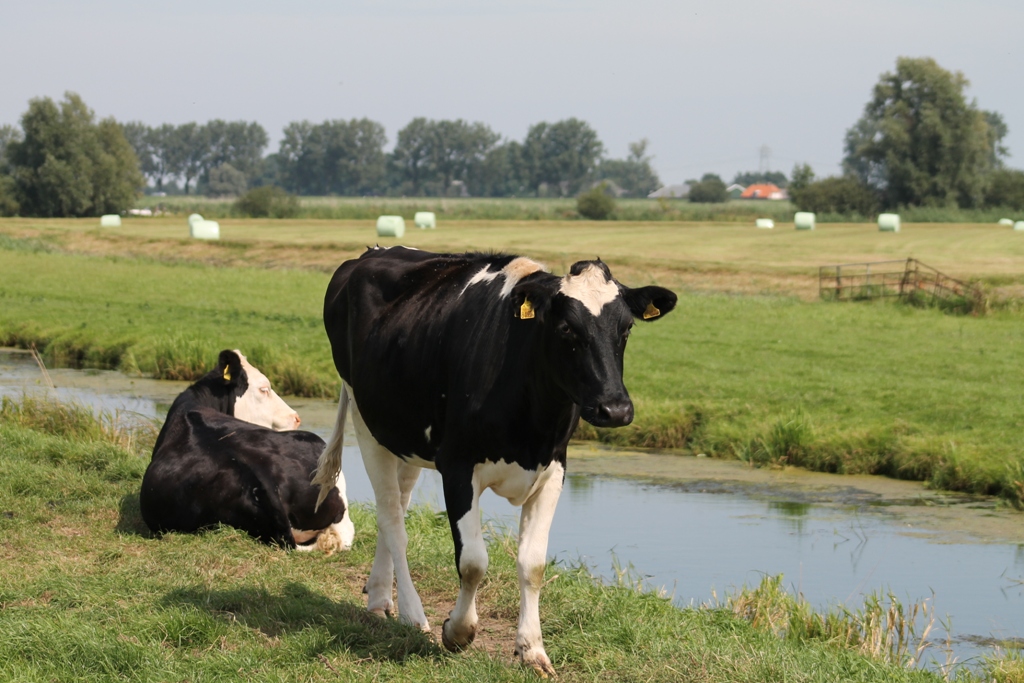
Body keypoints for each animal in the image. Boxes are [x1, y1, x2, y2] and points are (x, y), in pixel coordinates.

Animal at [311, 245, 679, 671]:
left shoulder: (554, 469)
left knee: (398, 507)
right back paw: (412, 615)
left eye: (626, 329)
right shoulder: (457, 466)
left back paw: (380, 598)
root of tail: (372, 252)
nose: (615, 409)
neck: (531, 428)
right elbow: (472, 562)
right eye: (566, 328)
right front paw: (457, 631)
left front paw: (532, 649)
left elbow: (533, 564)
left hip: (404, 437)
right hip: (366, 419)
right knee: (392, 521)